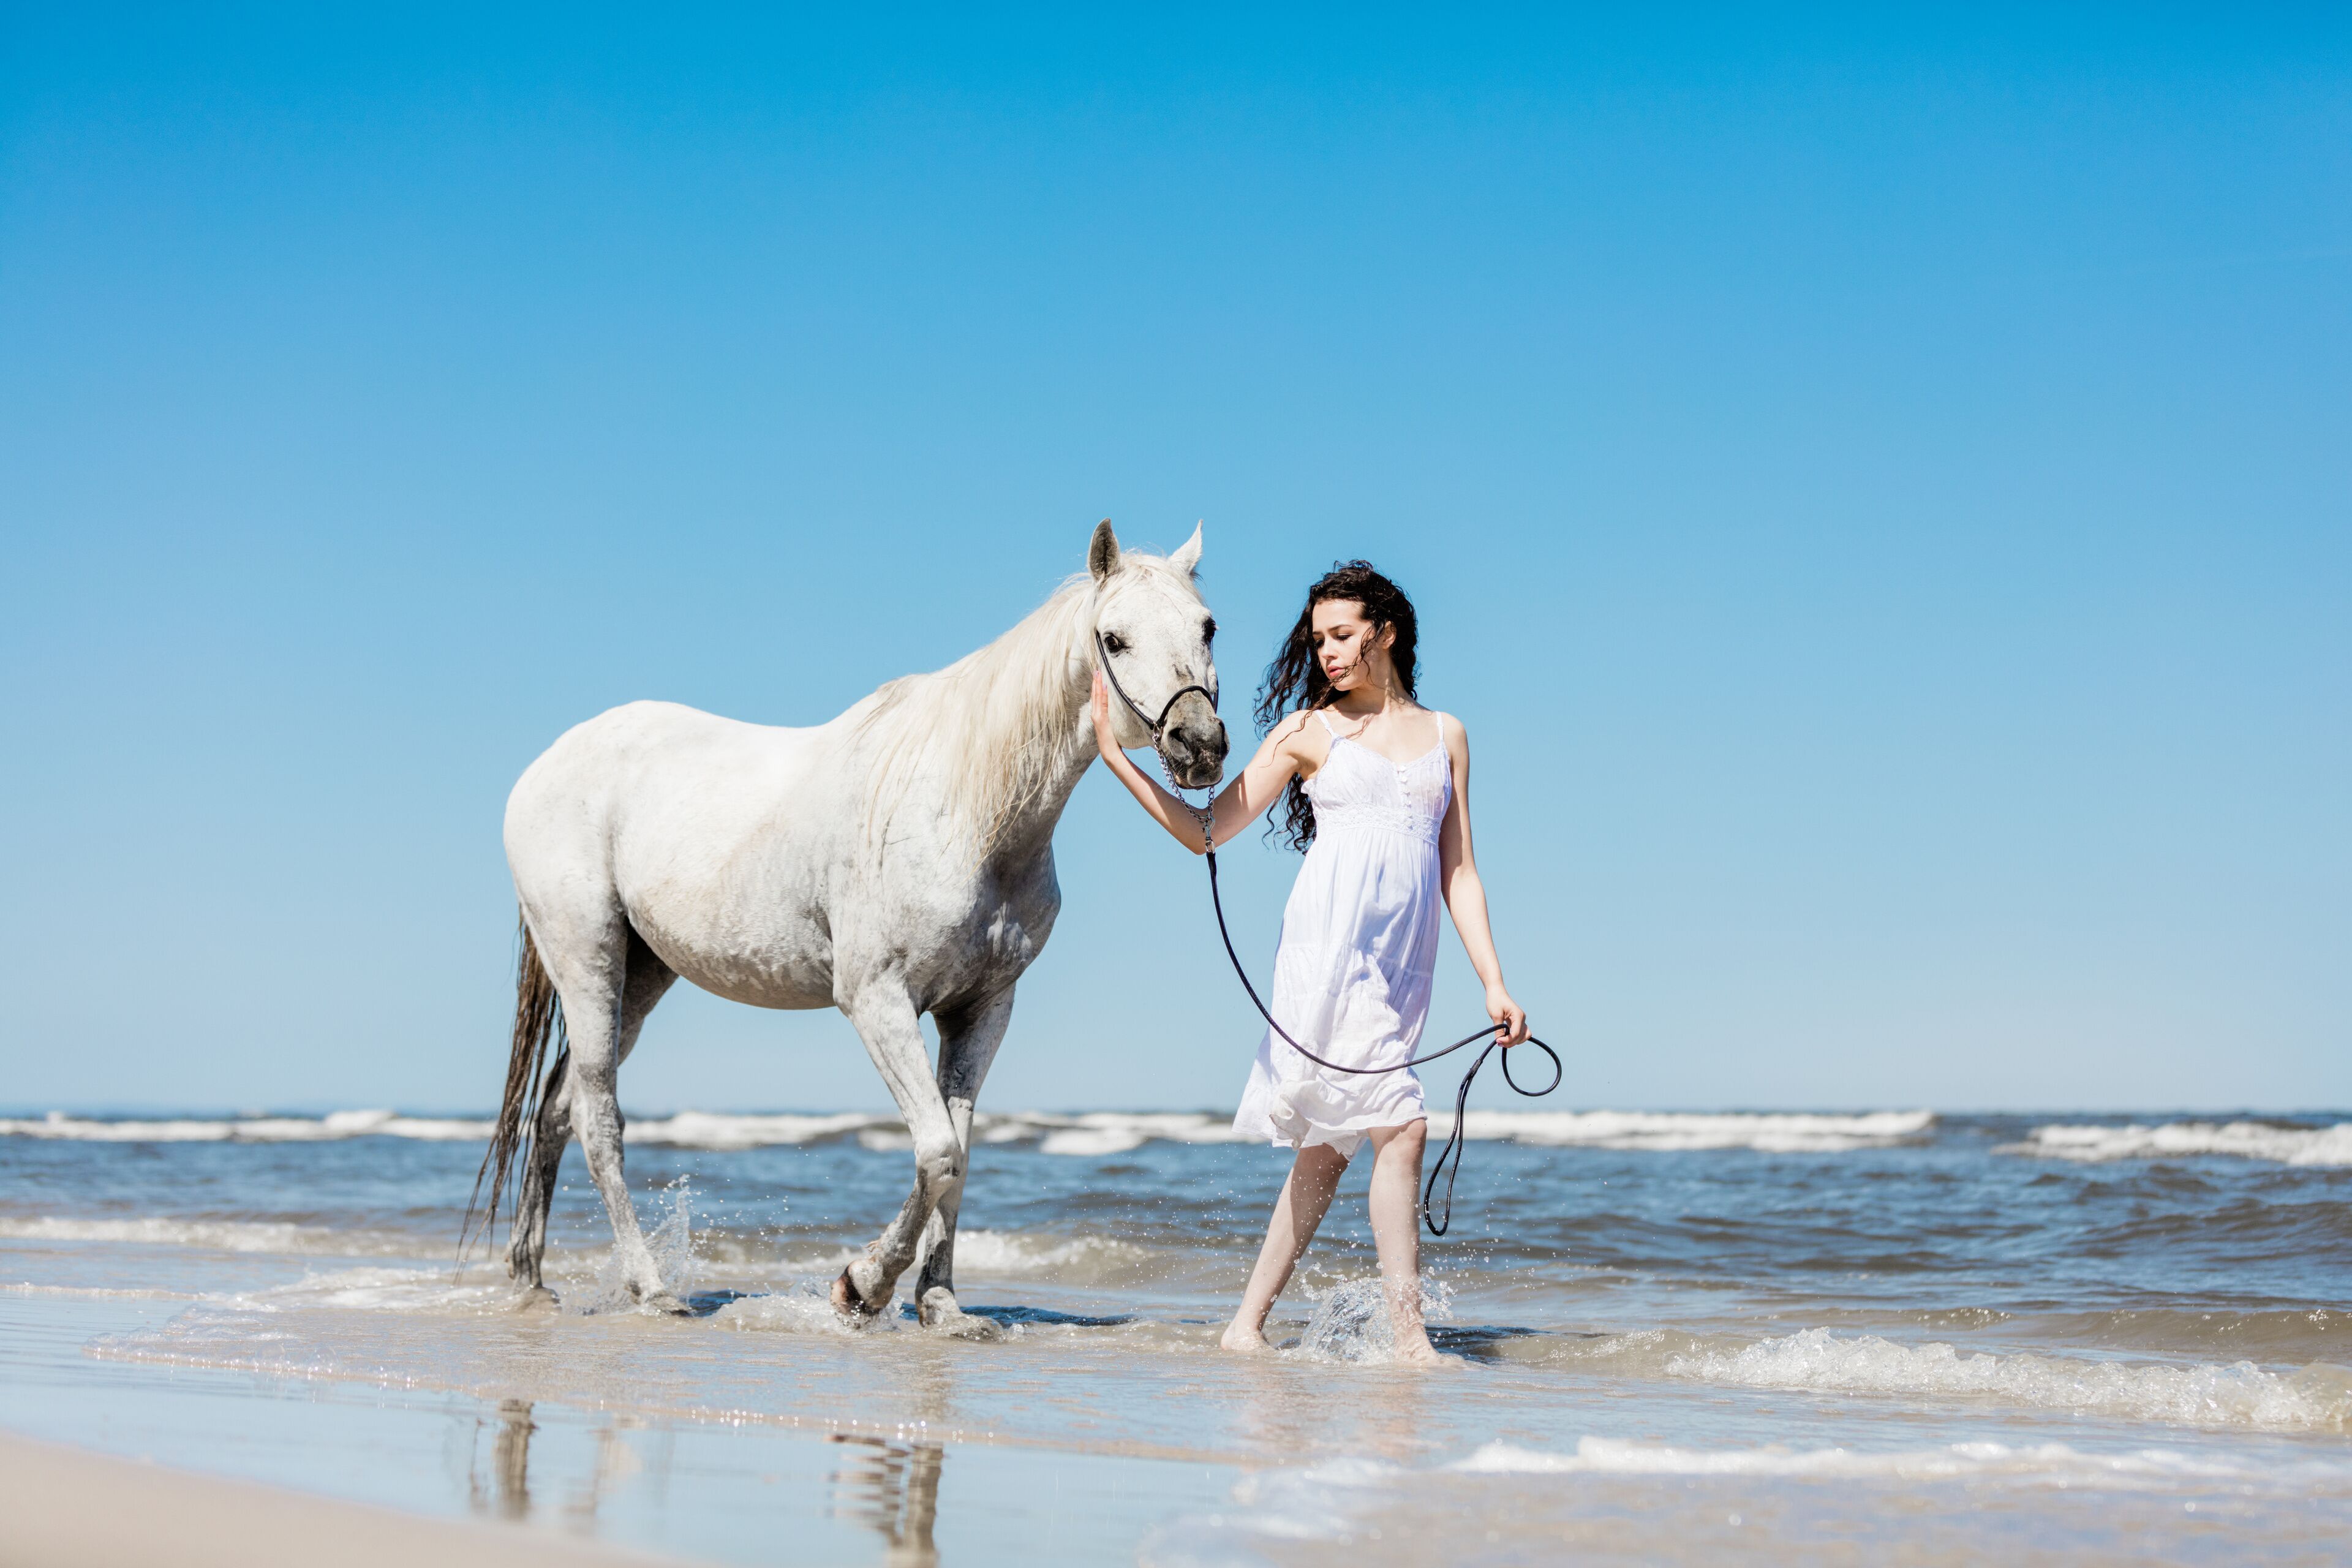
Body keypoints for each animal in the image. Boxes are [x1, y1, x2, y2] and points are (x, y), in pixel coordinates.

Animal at [470, 521, 1227, 1332]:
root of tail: (549, 763)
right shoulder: (877, 1000)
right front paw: (862, 1285)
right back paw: (652, 1289)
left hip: (642, 975)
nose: (1199, 745)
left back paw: (530, 1278)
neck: (965, 808)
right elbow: (936, 1151)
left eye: (1207, 626)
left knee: (556, 1113)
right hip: (589, 959)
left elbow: (960, 1157)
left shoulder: (982, 1009)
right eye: (1113, 638)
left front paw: (941, 1306)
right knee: (598, 1121)